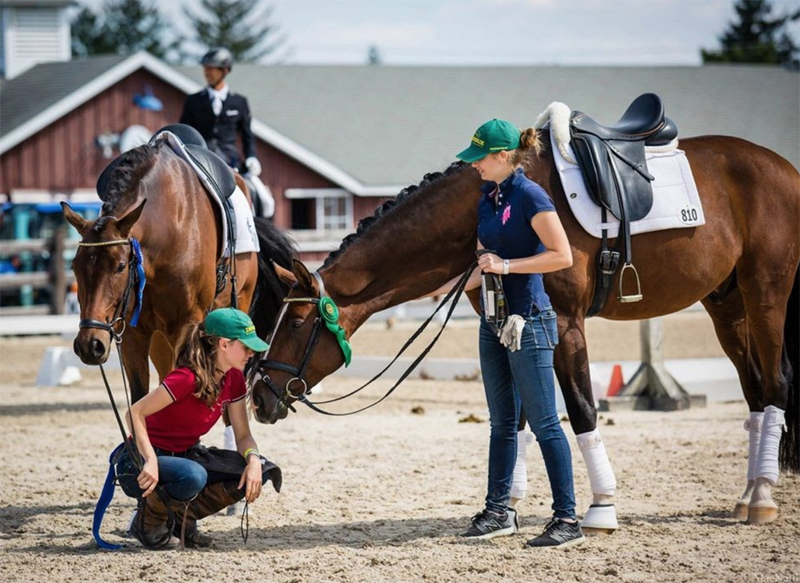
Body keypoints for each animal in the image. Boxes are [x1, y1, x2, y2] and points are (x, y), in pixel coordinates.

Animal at [61, 140, 294, 406]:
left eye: (120, 266)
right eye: (74, 267)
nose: (90, 345)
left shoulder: (187, 324)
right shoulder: (134, 332)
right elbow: (142, 397)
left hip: (237, 305)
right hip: (160, 337)